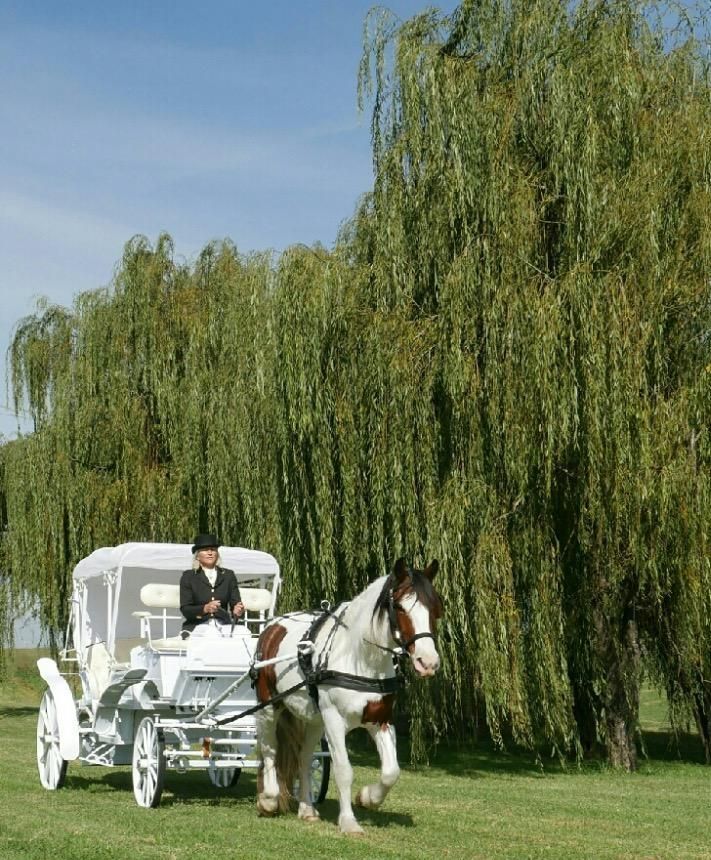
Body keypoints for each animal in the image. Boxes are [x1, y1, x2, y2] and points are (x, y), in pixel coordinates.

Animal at [253, 556, 442, 832]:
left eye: (435, 608)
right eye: (400, 607)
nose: (428, 662)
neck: (360, 659)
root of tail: (273, 626)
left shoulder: (380, 719)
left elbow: (391, 771)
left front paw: (368, 798)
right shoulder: (334, 721)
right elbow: (344, 770)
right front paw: (349, 822)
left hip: (314, 719)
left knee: (304, 757)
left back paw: (307, 809)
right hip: (269, 706)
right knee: (270, 750)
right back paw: (268, 800)